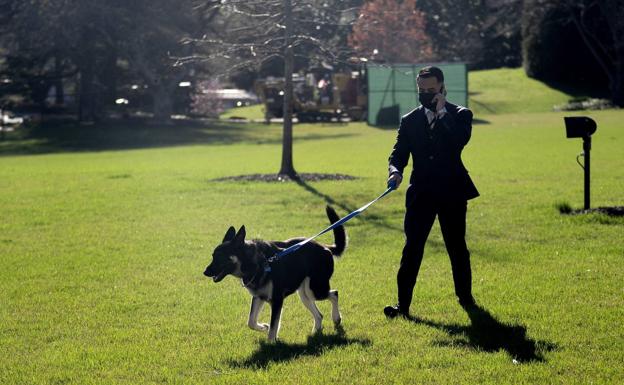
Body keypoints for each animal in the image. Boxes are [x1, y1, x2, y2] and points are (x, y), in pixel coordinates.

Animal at [207, 206, 348, 340]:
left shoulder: (277, 300)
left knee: (334, 294)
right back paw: (316, 331)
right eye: (213, 256)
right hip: (305, 294)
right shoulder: (259, 297)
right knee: (319, 314)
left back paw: (336, 318)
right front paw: (264, 327)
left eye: (220, 257)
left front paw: (271, 342)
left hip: (314, 290)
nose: (205, 272)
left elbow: (273, 326)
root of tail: (325, 247)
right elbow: (251, 322)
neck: (257, 262)